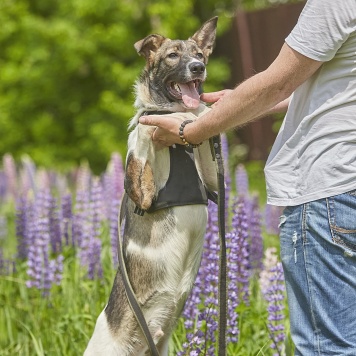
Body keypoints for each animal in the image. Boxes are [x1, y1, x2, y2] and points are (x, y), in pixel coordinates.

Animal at [85, 16, 220, 356]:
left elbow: (200, 120)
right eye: (172, 56)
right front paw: (155, 118)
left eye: (199, 53)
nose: (198, 67)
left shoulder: (211, 178)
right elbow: (146, 125)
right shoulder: (142, 193)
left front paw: (203, 111)